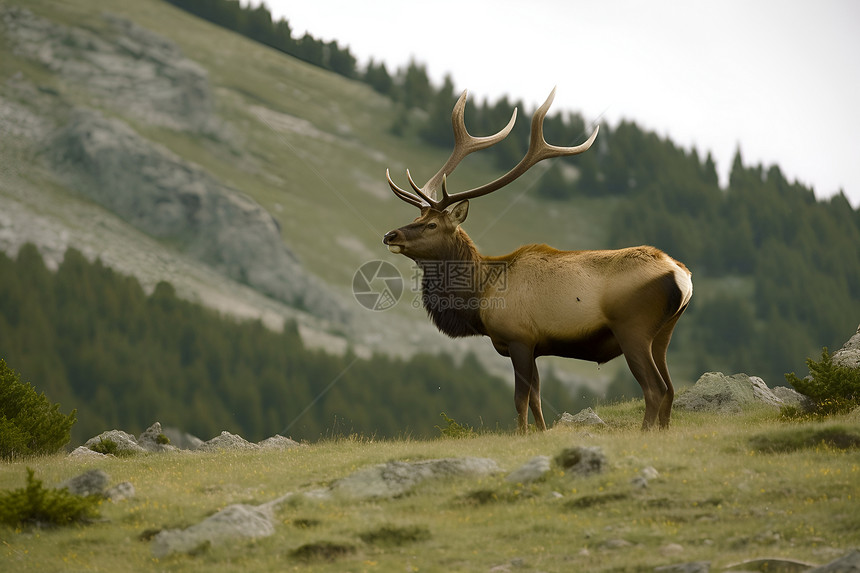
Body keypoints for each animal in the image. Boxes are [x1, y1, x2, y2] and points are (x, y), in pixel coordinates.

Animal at [382, 88, 692, 428]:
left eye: (432, 225)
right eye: (416, 217)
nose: (390, 235)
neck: (481, 294)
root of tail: (682, 276)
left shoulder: (519, 339)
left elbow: (520, 400)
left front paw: (522, 434)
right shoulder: (536, 347)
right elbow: (537, 399)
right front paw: (542, 432)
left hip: (633, 328)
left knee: (654, 387)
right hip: (663, 333)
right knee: (670, 388)